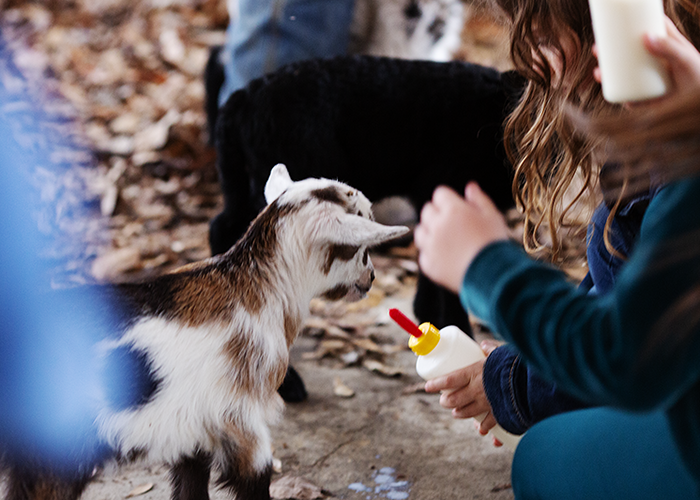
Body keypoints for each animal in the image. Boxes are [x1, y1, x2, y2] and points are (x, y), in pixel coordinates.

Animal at [3, 164, 408, 500]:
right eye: (359, 247)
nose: (371, 279)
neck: (257, 286)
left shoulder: (191, 430)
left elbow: (191, 486)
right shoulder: (243, 420)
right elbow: (254, 482)